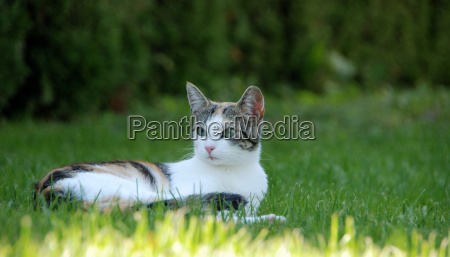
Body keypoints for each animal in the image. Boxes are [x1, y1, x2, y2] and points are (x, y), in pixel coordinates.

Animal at [37, 83, 286, 223]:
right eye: (201, 131)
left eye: (229, 132)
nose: (208, 147)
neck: (233, 172)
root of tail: (45, 192)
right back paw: (270, 220)